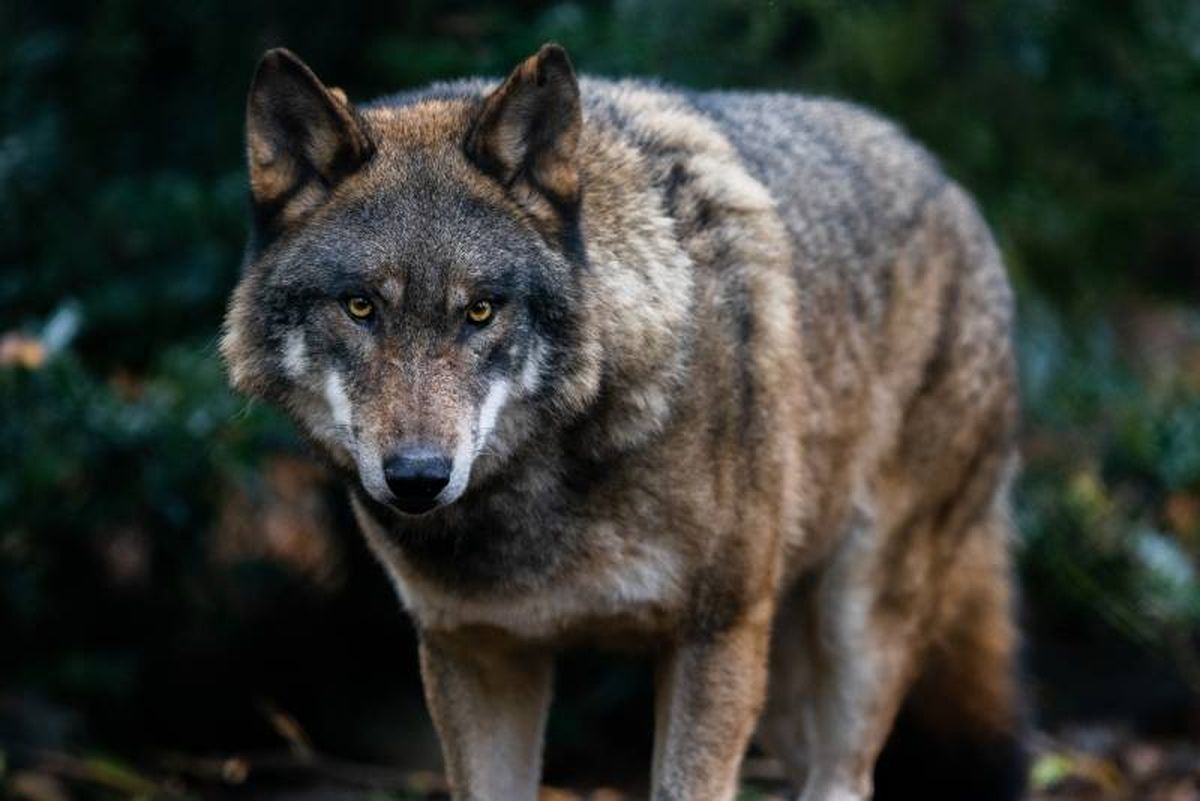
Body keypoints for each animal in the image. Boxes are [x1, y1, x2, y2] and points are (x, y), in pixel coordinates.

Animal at [221, 43, 1027, 801]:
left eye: (480, 310)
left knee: (849, 775)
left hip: (852, 627)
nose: (418, 477)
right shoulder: (477, 649)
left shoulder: (716, 632)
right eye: (360, 306)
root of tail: (948, 181)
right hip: (781, 681)